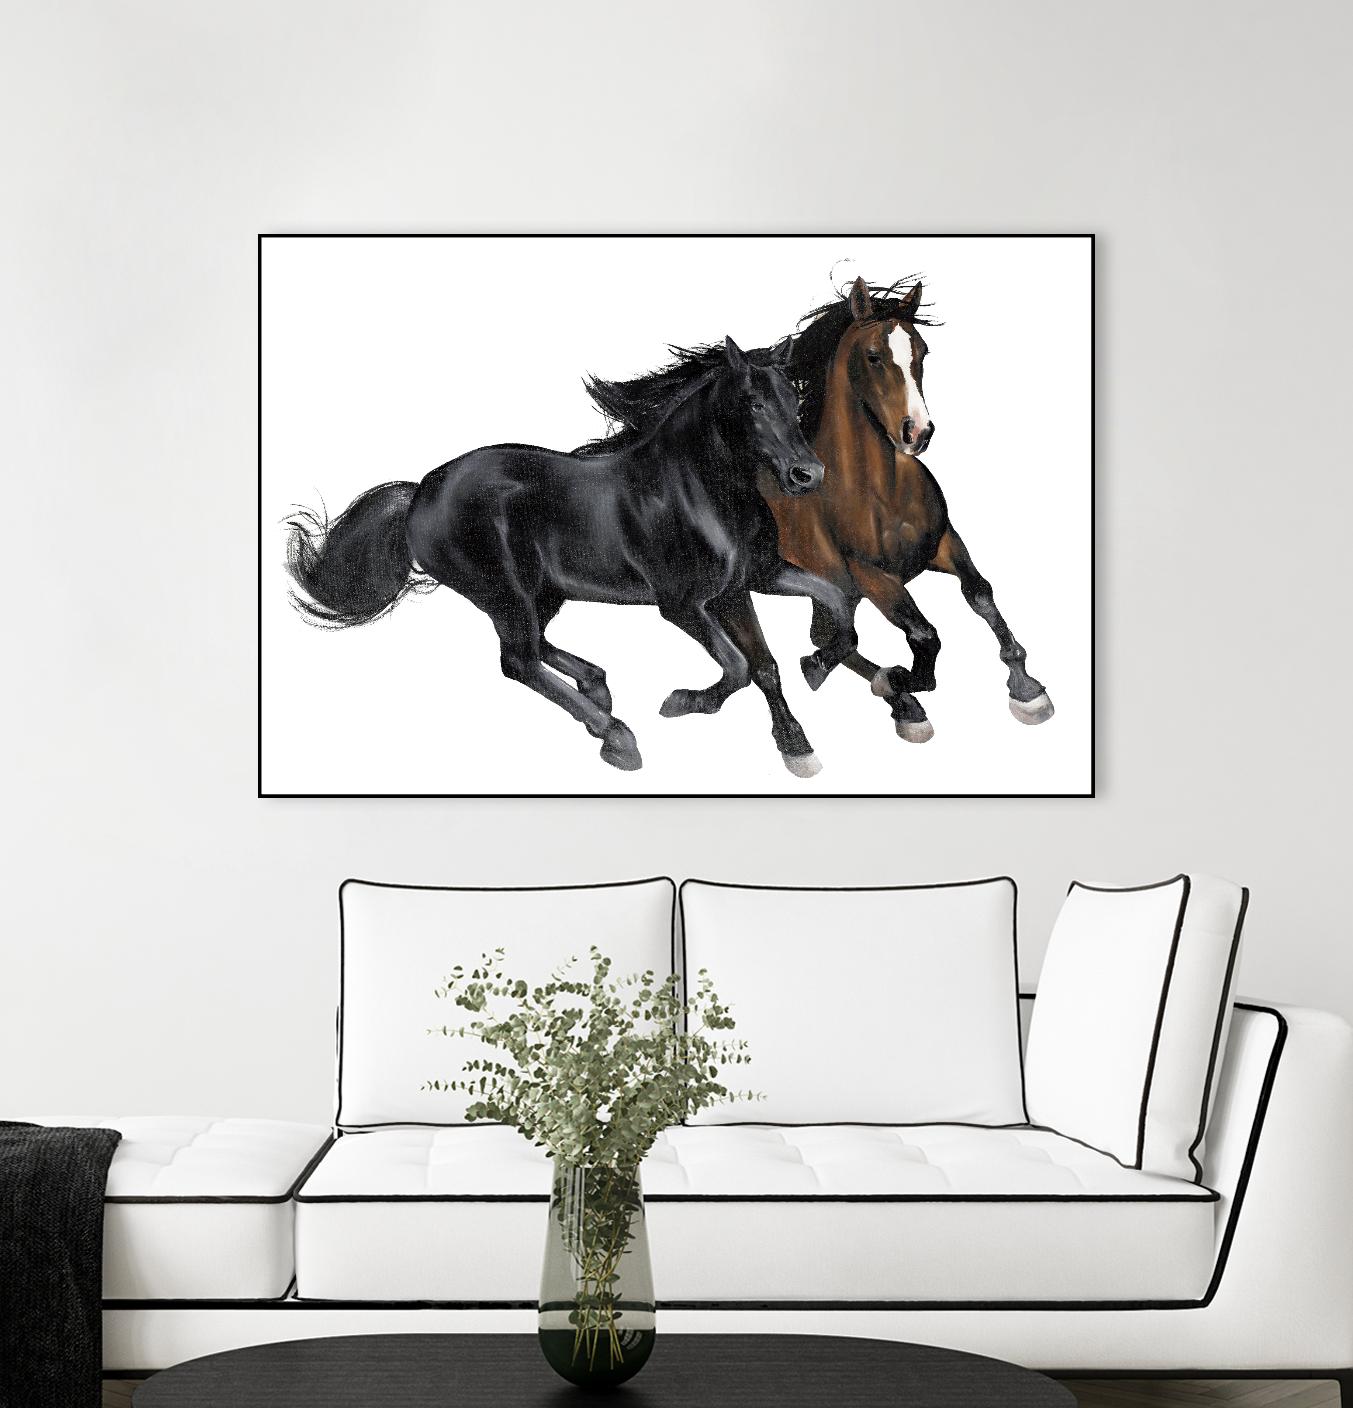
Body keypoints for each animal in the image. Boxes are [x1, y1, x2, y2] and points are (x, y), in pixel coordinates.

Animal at [285, 336, 858, 776]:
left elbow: (814, 621)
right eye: (753, 404)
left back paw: (598, 691)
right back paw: (618, 737)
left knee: (534, 648)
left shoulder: (748, 582)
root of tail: (421, 491)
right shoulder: (682, 604)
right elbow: (740, 666)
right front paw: (684, 702)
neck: (696, 491)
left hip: (542, 593)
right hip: (505, 593)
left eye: (793, 400)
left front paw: (804, 720)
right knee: (518, 660)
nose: (807, 475)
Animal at [769, 276, 1054, 740]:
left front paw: (1027, 690)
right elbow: (925, 636)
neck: (880, 491)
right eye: (873, 357)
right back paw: (890, 698)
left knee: (825, 638)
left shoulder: (944, 544)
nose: (917, 432)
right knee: (829, 642)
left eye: (922, 352)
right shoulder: (871, 575)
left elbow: (980, 594)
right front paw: (898, 680)